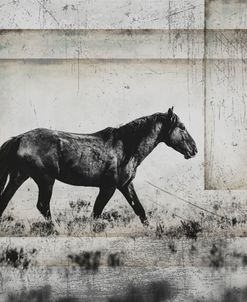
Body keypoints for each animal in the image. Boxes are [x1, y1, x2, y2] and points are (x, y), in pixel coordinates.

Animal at [0, 107, 198, 225]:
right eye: (182, 126)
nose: (194, 150)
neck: (125, 148)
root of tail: (19, 138)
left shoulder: (125, 185)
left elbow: (140, 210)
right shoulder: (108, 187)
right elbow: (96, 212)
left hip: (19, 177)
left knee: (5, 200)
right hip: (45, 180)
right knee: (43, 206)